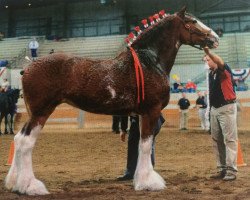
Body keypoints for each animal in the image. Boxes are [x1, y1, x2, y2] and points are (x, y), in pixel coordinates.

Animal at [4, 7, 218, 195]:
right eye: (192, 22)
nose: (215, 38)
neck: (149, 61)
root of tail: (28, 67)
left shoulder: (141, 114)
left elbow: (141, 145)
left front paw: (141, 180)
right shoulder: (151, 111)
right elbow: (146, 145)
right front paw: (149, 183)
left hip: (34, 112)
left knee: (18, 138)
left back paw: (14, 183)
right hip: (42, 111)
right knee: (26, 142)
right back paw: (30, 186)